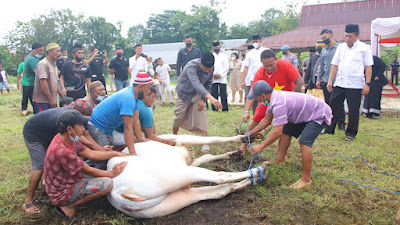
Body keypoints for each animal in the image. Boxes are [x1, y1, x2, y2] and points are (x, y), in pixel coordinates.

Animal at [108, 134, 268, 218]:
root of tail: (115, 191)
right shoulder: (181, 138)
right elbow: (213, 139)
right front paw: (245, 137)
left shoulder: (189, 161)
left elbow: (207, 156)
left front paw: (233, 154)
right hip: (179, 172)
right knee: (221, 177)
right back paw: (257, 171)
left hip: (175, 198)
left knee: (221, 190)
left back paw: (252, 179)